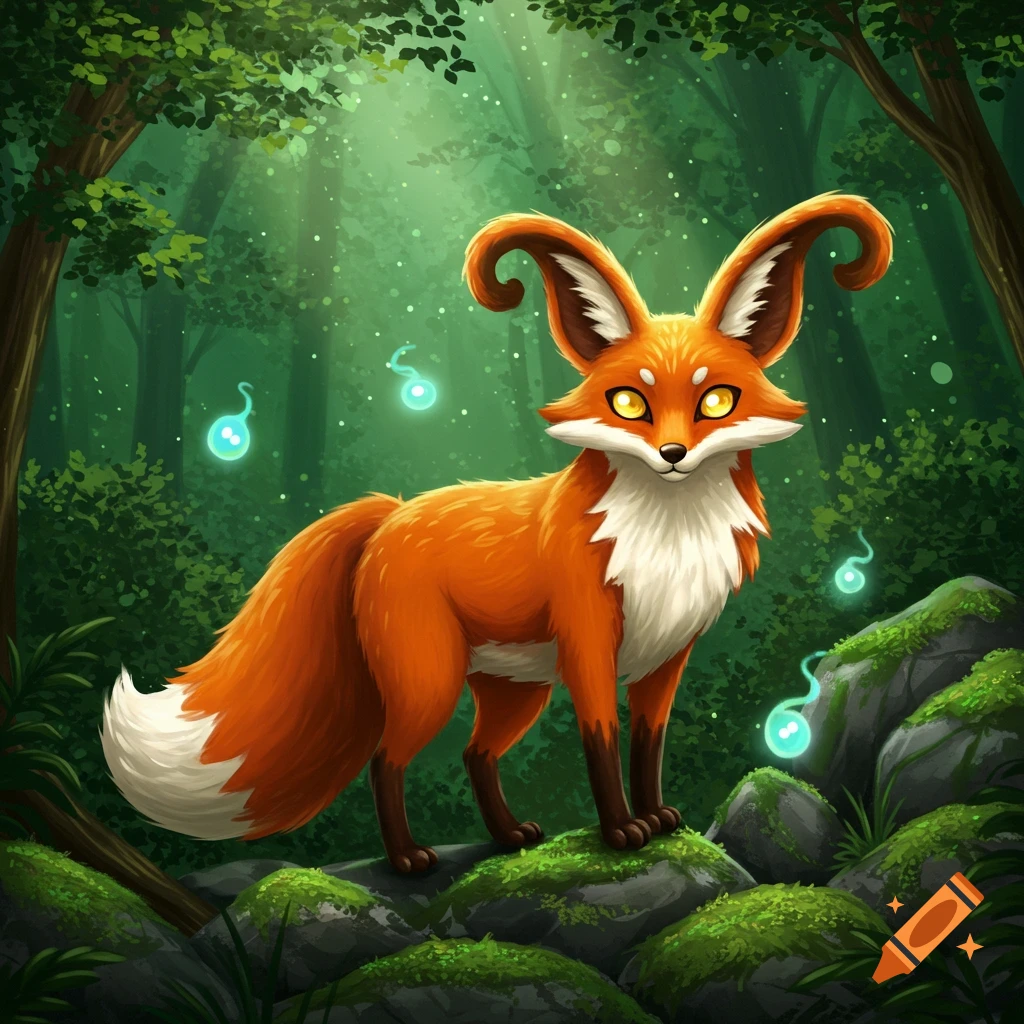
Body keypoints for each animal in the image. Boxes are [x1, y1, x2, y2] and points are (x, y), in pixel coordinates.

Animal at [101, 193, 892, 873]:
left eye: (717, 402)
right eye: (628, 403)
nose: (673, 454)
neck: (666, 541)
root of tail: (387, 513)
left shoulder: (669, 658)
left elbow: (647, 748)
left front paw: (662, 819)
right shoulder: (588, 645)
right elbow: (602, 746)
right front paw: (621, 833)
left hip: (516, 691)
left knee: (476, 755)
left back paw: (508, 836)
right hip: (431, 681)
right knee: (386, 760)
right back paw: (407, 858)